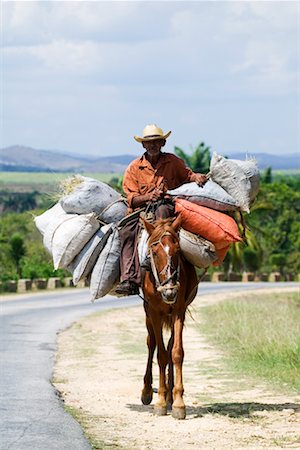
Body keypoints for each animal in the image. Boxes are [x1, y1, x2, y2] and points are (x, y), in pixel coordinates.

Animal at [141, 216, 199, 420]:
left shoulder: (179, 311)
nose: (170, 291)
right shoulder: (154, 313)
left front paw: (178, 402)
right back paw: (148, 391)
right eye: (154, 252)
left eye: (178, 252)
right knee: (151, 343)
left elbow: (176, 353)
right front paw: (159, 401)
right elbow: (160, 355)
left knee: (169, 345)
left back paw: (170, 396)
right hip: (148, 315)